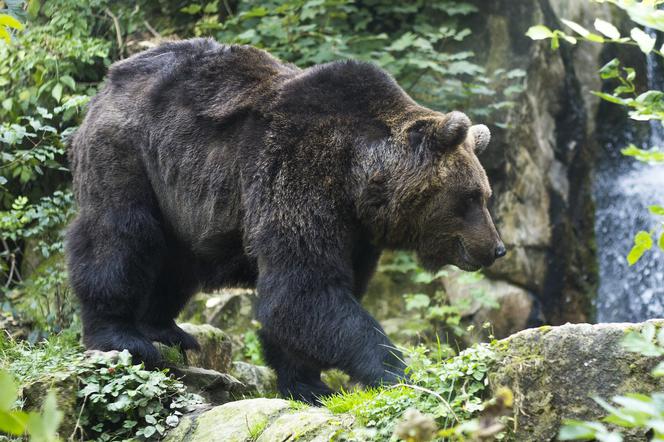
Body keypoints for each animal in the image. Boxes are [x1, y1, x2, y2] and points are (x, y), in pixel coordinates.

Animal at [66, 38, 504, 404]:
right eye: (470, 197)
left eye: (485, 195)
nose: (496, 248)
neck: (358, 179)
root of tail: (113, 76)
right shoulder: (298, 173)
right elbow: (301, 289)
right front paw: (397, 371)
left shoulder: (355, 234)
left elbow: (314, 300)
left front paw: (309, 384)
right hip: (131, 153)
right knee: (119, 235)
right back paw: (122, 335)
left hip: (180, 198)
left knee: (177, 262)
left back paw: (168, 330)